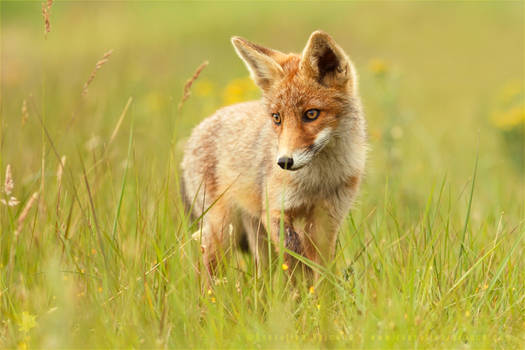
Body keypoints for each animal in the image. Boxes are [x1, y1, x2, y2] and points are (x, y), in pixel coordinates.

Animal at [182, 30, 366, 278]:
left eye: (311, 114)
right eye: (277, 118)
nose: (284, 162)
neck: (318, 181)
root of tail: (198, 128)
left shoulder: (328, 217)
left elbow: (321, 269)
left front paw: (320, 290)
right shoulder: (275, 211)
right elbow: (296, 260)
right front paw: (303, 288)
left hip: (254, 232)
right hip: (224, 229)